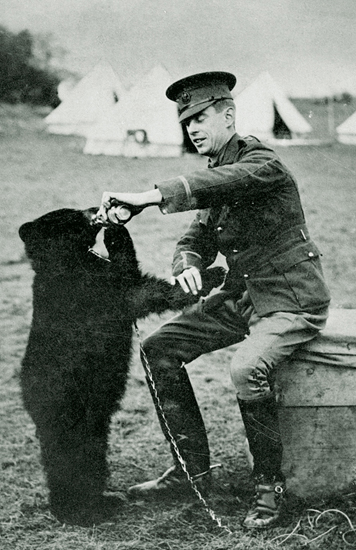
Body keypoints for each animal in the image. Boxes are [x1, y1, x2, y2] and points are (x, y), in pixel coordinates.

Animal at [18, 209, 224, 528]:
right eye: (74, 217)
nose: (94, 210)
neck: (66, 264)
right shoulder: (95, 293)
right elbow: (139, 291)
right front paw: (212, 274)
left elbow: (130, 273)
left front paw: (116, 231)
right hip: (68, 410)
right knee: (69, 460)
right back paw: (79, 511)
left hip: (95, 426)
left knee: (94, 457)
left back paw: (105, 500)